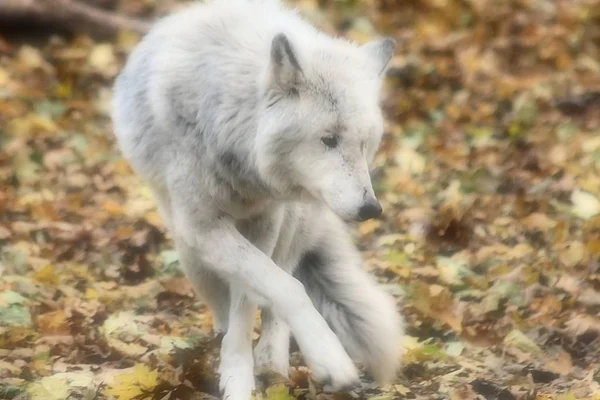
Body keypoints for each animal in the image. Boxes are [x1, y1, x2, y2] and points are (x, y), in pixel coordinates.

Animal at [111, 1, 404, 398]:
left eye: (364, 144)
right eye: (328, 139)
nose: (371, 209)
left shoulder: (263, 222)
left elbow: (259, 296)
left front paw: (247, 372)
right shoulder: (203, 228)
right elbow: (279, 289)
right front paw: (325, 360)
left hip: (293, 219)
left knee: (283, 275)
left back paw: (272, 361)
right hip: (188, 250)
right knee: (229, 298)